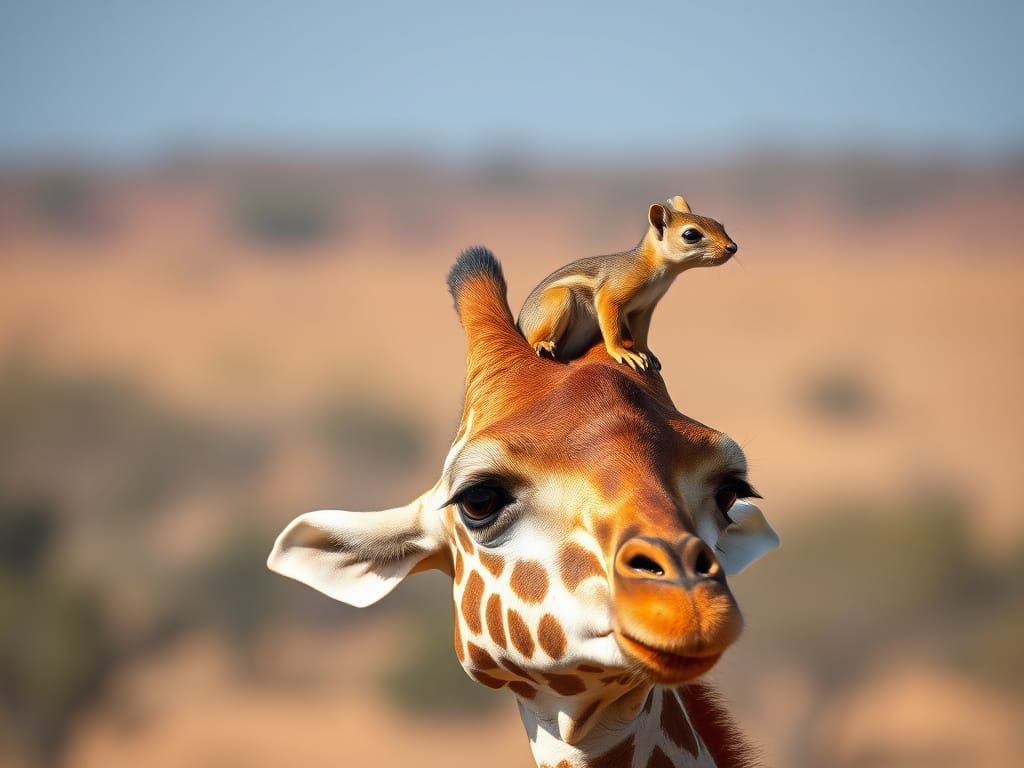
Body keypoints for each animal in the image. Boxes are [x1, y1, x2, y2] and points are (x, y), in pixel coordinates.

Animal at [517, 195, 738, 372]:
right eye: (690, 235)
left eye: (719, 224)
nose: (732, 247)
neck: (657, 268)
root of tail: (520, 324)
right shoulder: (611, 296)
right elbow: (611, 327)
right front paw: (622, 352)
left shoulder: (644, 308)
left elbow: (641, 334)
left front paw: (646, 352)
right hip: (559, 299)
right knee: (534, 338)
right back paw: (542, 343)